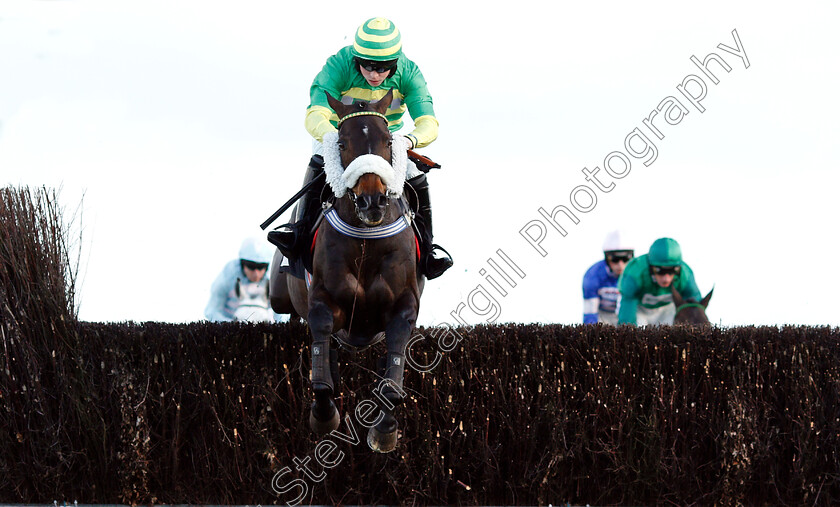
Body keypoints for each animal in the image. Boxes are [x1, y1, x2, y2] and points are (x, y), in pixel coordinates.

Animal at [270, 89, 424, 454]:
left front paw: (385, 430)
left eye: (387, 141)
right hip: (280, 294)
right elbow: (321, 366)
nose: (372, 201)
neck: (366, 241)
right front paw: (324, 415)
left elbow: (392, 379)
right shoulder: (325, 300)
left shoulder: (404, 306)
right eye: (341, 143)